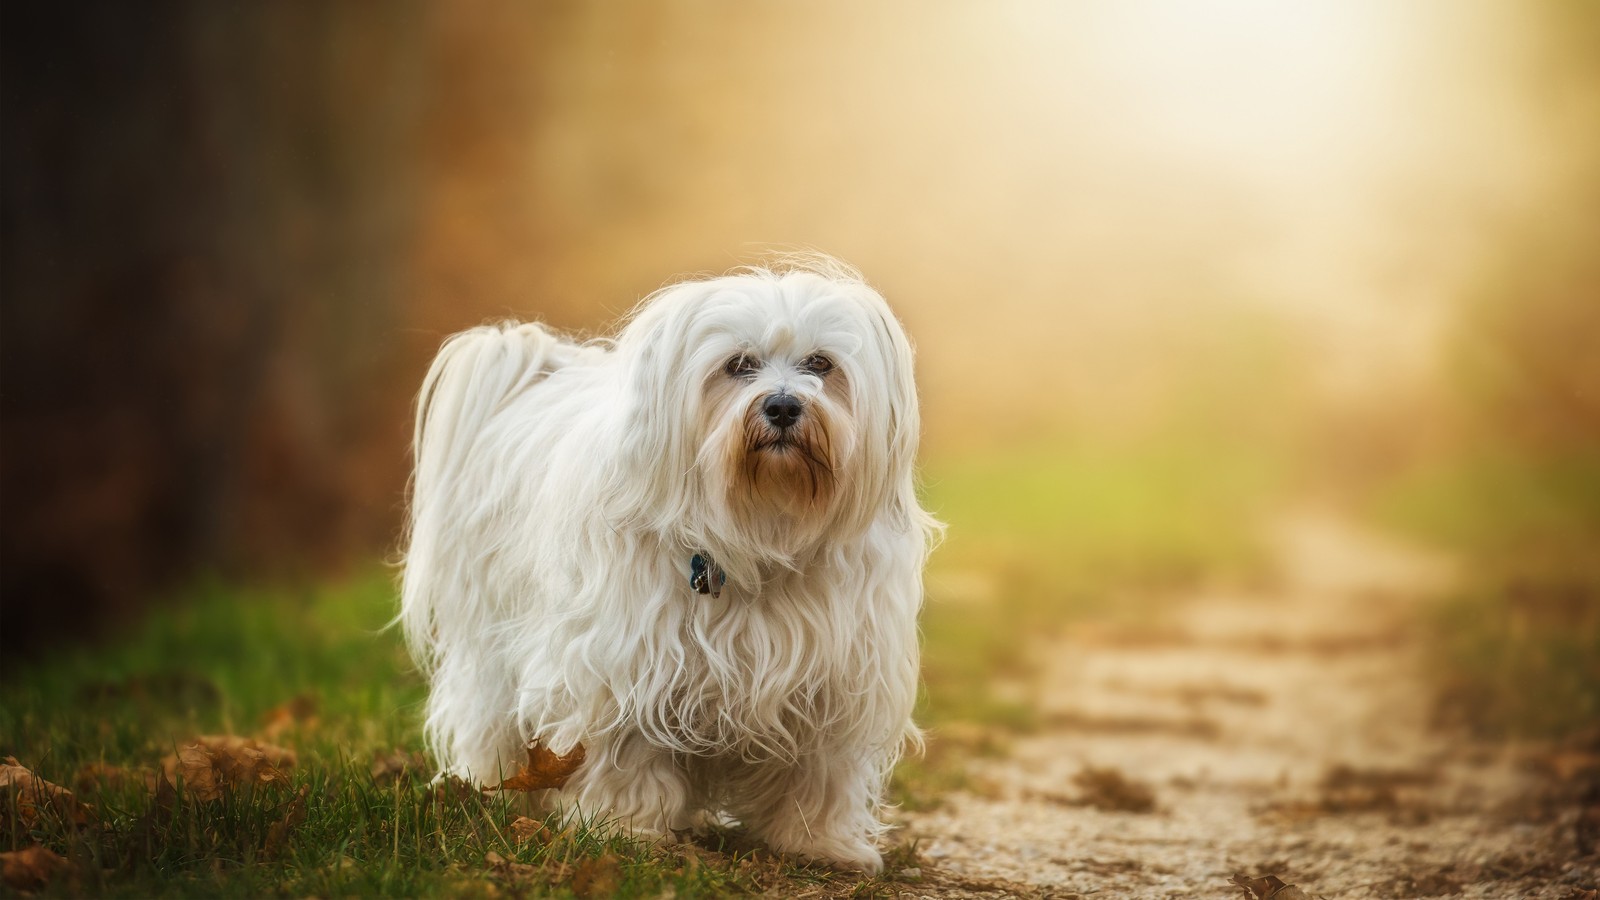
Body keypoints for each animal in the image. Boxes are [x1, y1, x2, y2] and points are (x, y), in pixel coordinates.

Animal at [400, 254, 940, 871]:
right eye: (738, 365)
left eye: (820, 364)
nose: (782, 405)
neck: (760, 527)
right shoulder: (626, 665)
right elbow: (626, 754)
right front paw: (625, 829)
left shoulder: (836, 678)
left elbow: (820, 771)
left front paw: (820, 842)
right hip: (490, 643)